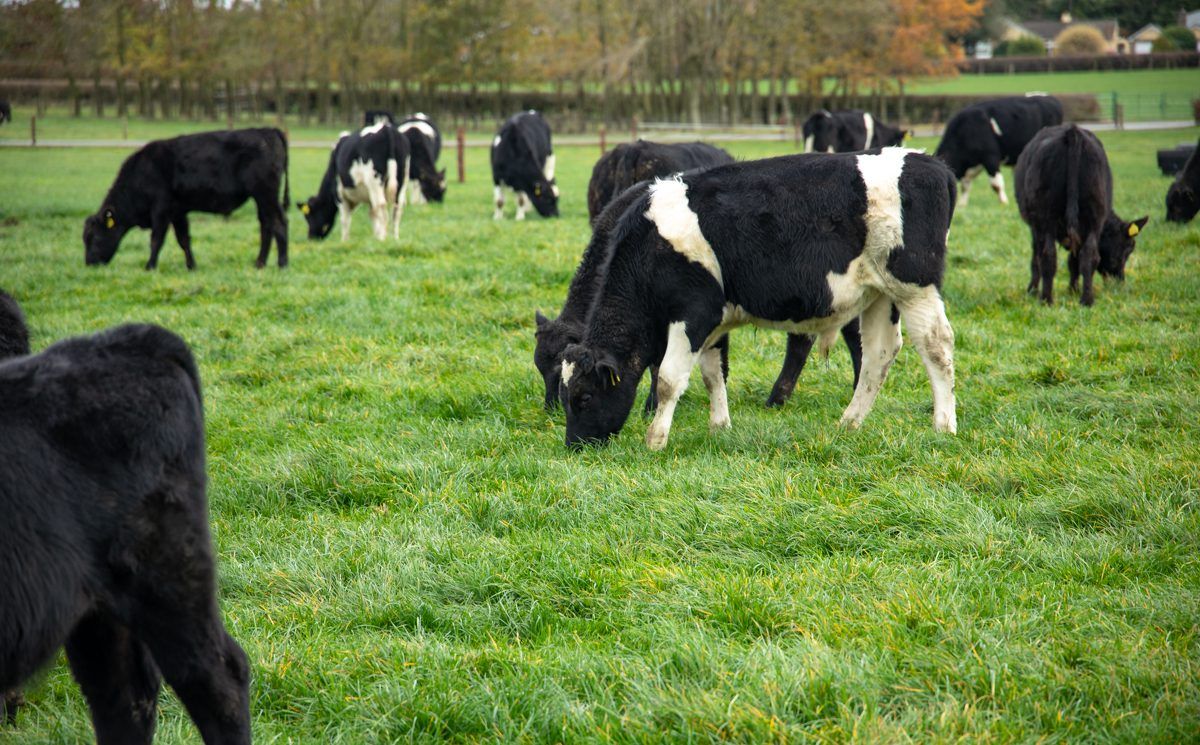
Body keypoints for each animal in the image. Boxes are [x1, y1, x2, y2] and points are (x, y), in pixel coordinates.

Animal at [83, 128, 290, 270]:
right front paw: (191, 266)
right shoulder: (178, 212)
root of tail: (268, 130)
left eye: (95, 237)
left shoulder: (161, 210)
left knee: (279, 223)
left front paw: (150, 266)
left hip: (266, 195)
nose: (89, 263)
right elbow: (183, 239)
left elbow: (156, 239)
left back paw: (282, 264)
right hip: (261, 199)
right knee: (266, 226)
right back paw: (260, 263)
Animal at [1015, 124, 1149, 306]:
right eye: (1129, 248)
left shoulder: (1036, 227)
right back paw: (1086, 299)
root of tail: (1073, 132)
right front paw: (1072, 290)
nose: (1119, 281)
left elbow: (1039, 258)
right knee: (1088, 256)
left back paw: (1046, 299)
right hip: (1093, 216)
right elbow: (1073, 262)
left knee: (1048, 256)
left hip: (1046, 218)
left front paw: (1033, 290)